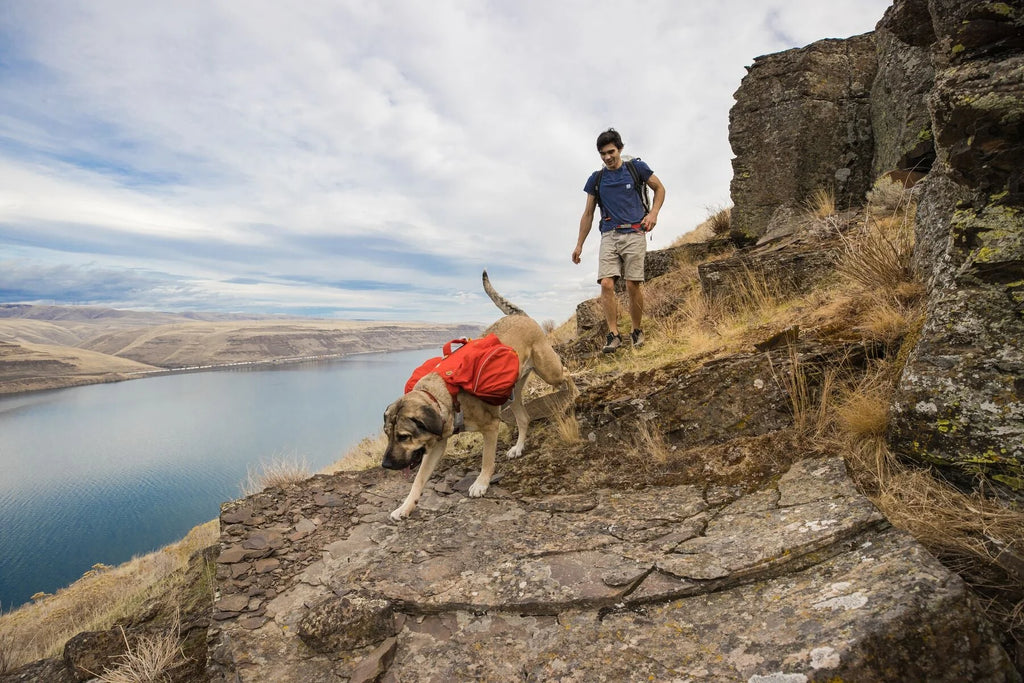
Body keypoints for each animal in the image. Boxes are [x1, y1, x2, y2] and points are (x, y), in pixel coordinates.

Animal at [385, 270, 577, 520]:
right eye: (387, 434)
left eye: (404, 436)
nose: (386, 465)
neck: (443, 395)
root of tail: (521, 316)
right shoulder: (437, 444)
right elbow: (419, 480)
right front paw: (405, 506)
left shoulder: (490, 427)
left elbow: (487, 460)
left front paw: (481, 484)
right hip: (513, 392)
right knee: (524, 418)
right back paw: (518, 447)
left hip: (548, 369)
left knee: (566, 372)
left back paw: (573, 394)